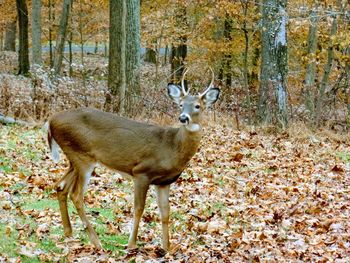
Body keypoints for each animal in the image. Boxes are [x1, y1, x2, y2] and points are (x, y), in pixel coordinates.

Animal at [47, 69, 219, 253]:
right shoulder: (141, 172)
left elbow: (165, 212)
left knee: (60, 186)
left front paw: (167, 248)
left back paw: (69, 232)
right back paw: (96, 242)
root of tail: (50, 121)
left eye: (197, 106)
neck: (172, 146)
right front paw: (131, 245)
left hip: (75, 158)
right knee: (76, 194)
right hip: (82, 157)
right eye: (181, 104)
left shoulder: (164, 182)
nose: (183, 118)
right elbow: (138, 209)